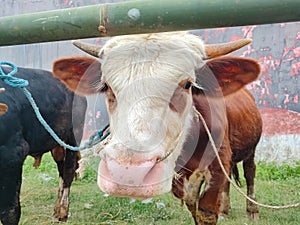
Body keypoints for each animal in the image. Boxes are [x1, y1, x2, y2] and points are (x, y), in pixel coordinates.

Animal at [0, 66, 86, 224]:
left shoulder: (13, 155)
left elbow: (9, 212)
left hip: (73, 136)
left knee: (68, 172)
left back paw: (63, 212)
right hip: (57, 144)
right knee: (61, 169)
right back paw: (57, 209)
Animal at [52, 32, 262, 225]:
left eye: (187, 84)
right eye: (106, 86)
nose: (128, 173)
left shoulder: (218, 164)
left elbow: (206, 212)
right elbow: (193, 204)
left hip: (251, 149)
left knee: (250, 172)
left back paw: (252, 210)